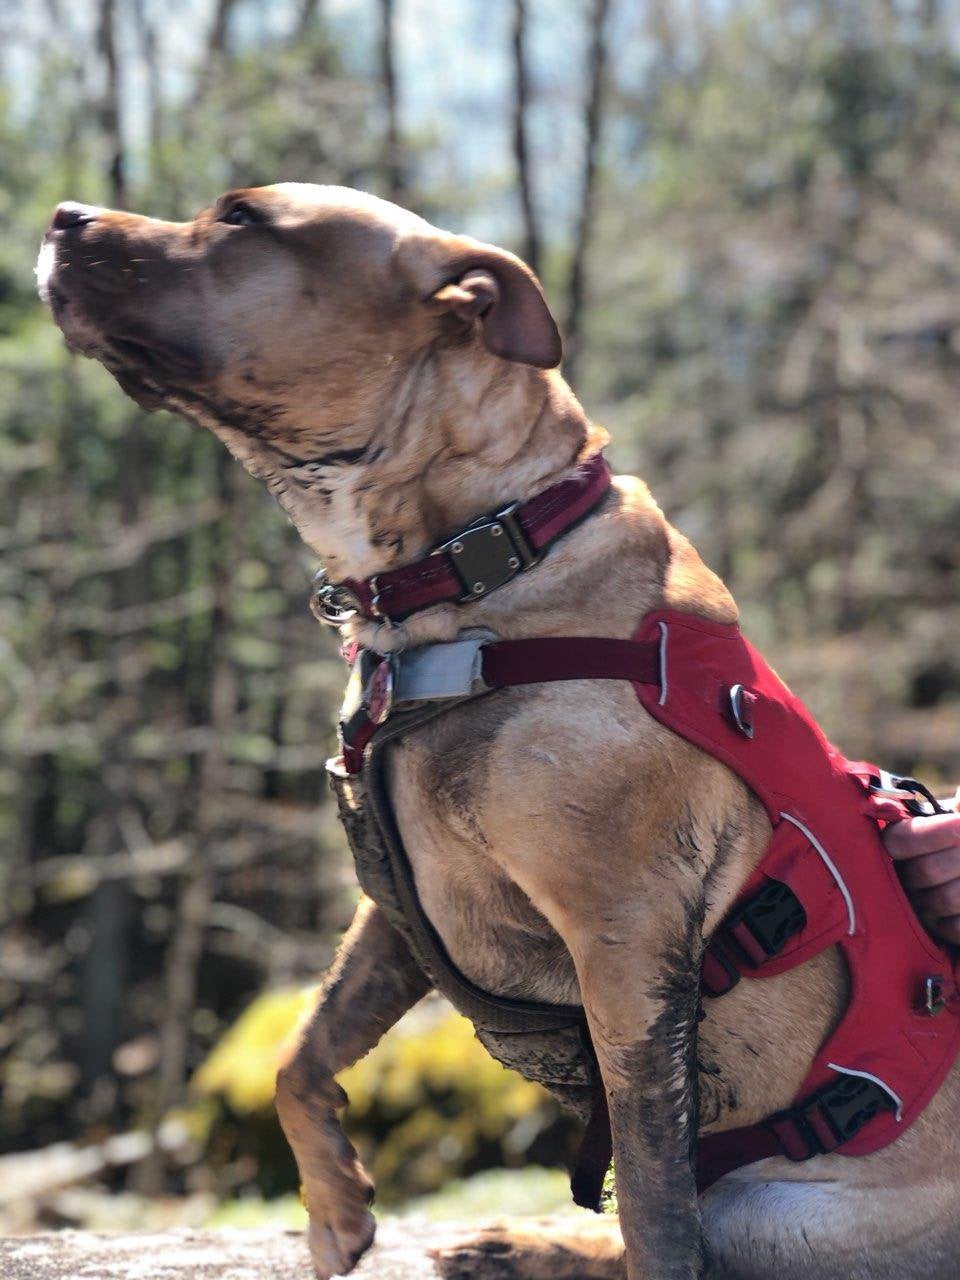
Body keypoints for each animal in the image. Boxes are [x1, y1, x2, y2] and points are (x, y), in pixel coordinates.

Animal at [35, 186, 960, 1280]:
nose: (62, 215)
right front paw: (333, 1206)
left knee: (689, 1220)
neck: (487, 552)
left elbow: (656, 1201)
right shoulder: (400, 907)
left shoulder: (627, 952)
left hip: (775, 1206)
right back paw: (516, 1238)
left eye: (242, 220)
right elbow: (299, 1049)